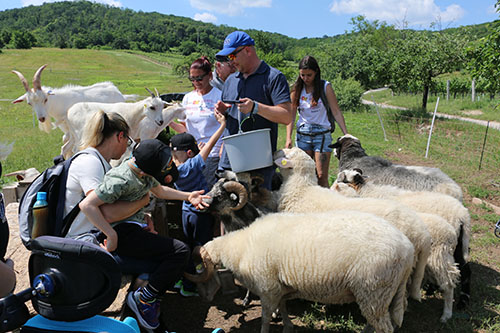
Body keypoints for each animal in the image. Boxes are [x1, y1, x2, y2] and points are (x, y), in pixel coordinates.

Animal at [187, 210, 414, 332]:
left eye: (203, 273)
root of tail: (407, 247)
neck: (242, 248)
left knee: (383, 327)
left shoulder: (267, 289)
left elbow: (266, 317)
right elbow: (283, 308)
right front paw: (288, 327)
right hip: (382, 293)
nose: (204, 299)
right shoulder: (279, 289)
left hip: (374, 290)